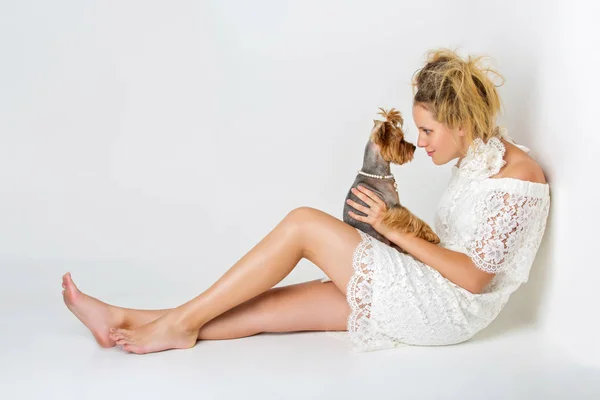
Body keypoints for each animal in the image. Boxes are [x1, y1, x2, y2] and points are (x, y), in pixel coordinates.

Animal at [342, 108, 440, 252]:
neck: (375, 172)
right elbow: (413, 218)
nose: (414, 147)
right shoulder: (394, 206)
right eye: (401, 140)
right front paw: (432, 235)